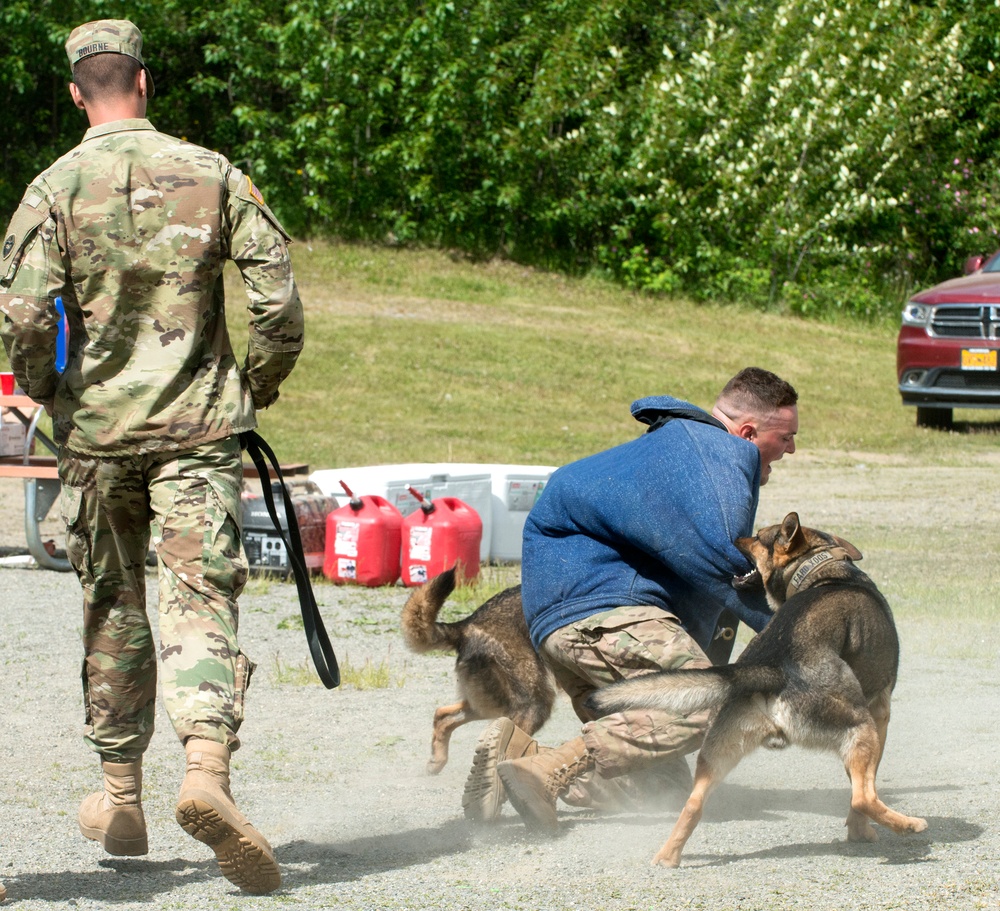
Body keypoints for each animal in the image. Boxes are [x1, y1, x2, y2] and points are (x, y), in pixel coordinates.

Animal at [584, 512, 928, 868]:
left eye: (759, 537)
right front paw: (862, 831)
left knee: (693, 806)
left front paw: (858, 831)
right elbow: (860, 791)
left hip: (718, 754)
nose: (736, 538)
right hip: (861, 728)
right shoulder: (880, 714)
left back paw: (667, 857)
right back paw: (909, 824)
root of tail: (769, 668)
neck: (823, 569)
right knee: (863, 798)